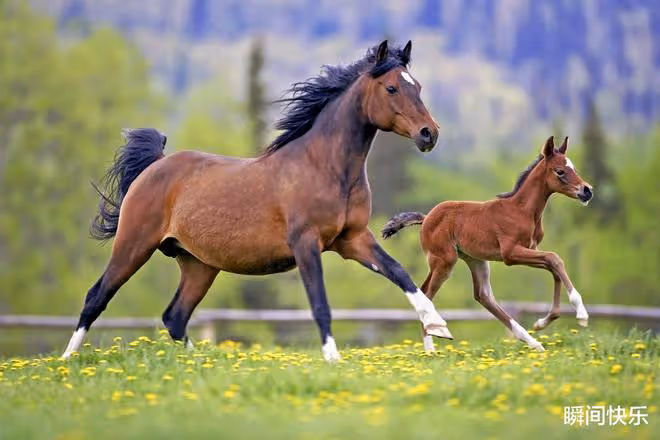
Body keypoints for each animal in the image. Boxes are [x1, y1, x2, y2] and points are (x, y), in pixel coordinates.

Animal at [61, 40, 453, 362]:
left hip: (198, 264)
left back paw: (202, 361)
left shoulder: (353, 239)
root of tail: (155, 165)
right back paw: (66, 360)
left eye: (417, 86)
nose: (429, 134)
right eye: (391, 87)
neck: (326, 167)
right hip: (134, 244)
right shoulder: (306, 243)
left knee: (175, 316)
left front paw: (438, 326)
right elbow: (320, 303)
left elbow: (400, 273)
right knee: (97, 296)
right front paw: (333, 359)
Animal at [382, 136, 593, 352]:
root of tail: (425, 219)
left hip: (475, 260)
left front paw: (542, 322)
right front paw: (581, 314)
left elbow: (554, 266)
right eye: (560, 171)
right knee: (427, 293)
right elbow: (554, 258)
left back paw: (533, 342)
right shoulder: (510, 253)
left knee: (483, 295)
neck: (522, 210)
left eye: (574, 168)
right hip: (444, 260)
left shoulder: (530, 250)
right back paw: (431, 347)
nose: (587, 191)